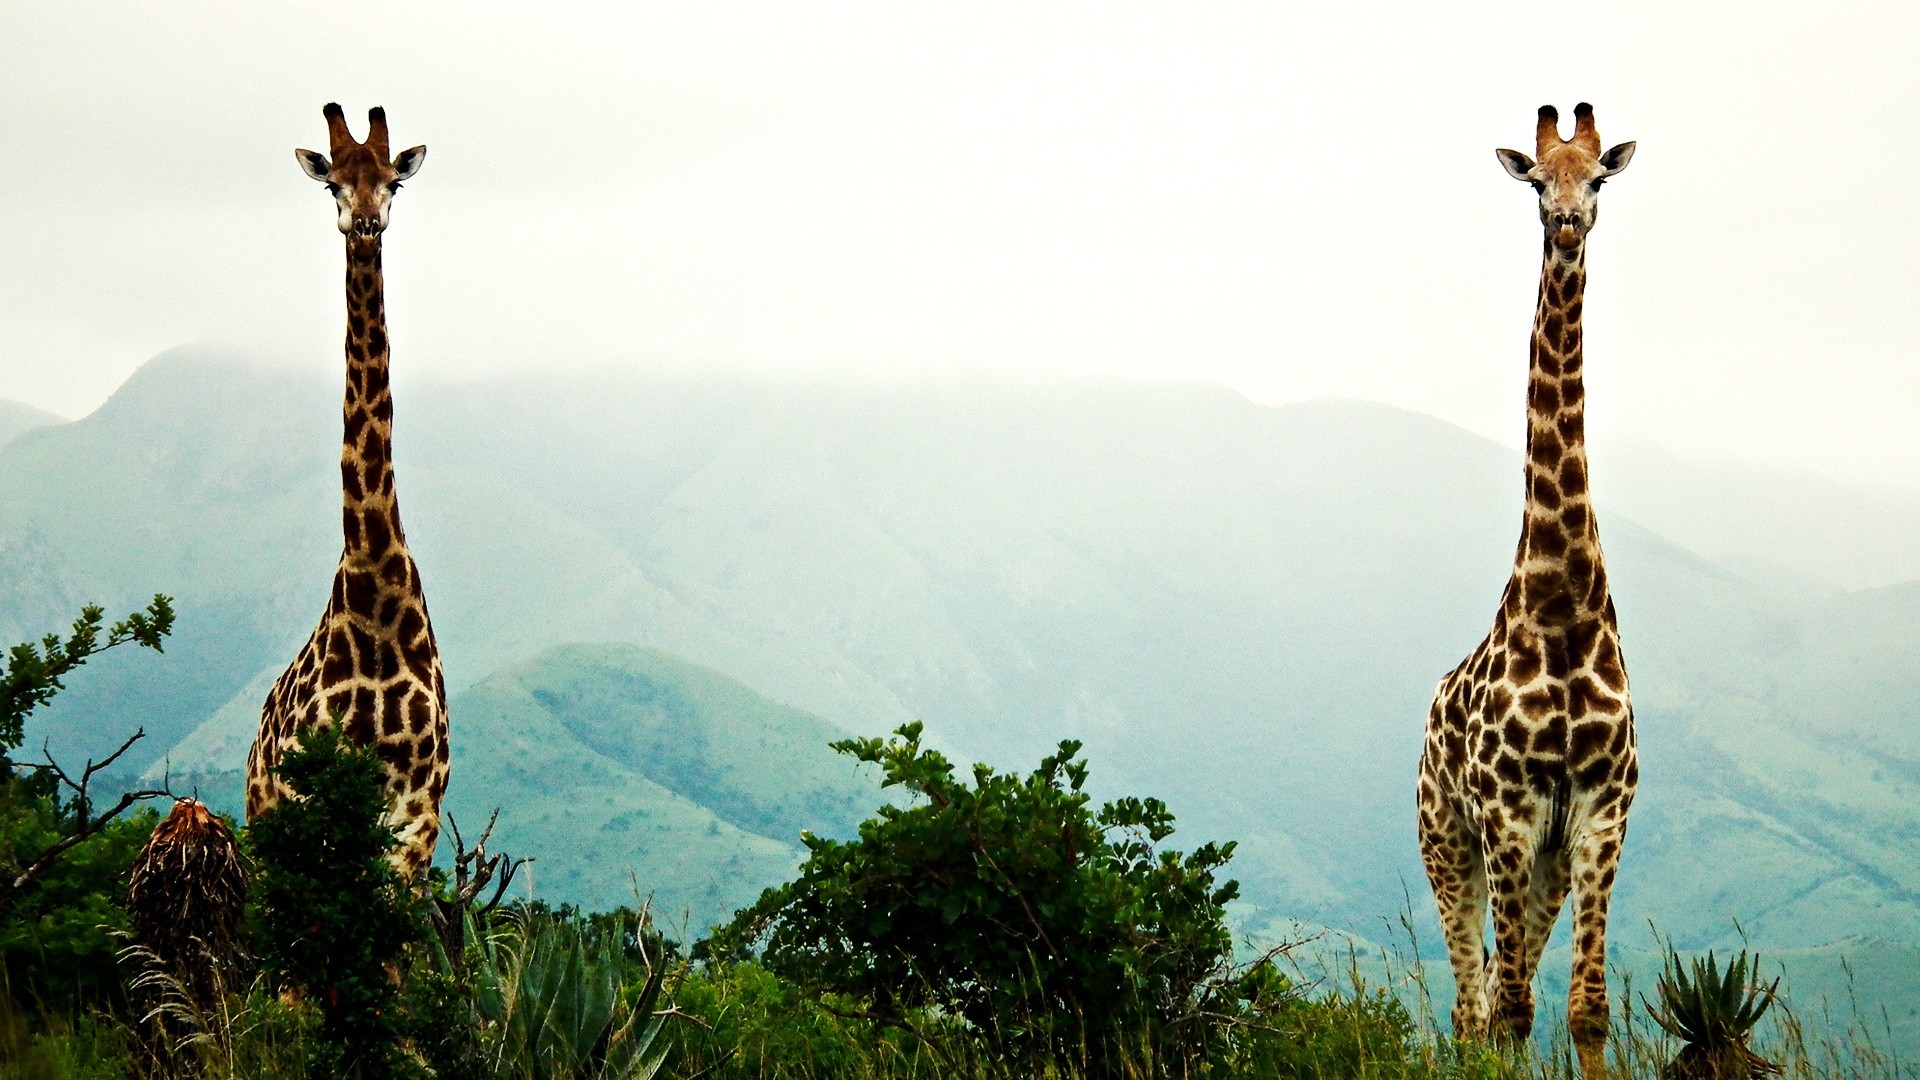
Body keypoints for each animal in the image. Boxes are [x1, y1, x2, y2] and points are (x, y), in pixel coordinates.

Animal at [245, 103, 447, 877]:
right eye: (333, 182)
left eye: (394, 181)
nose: (365, 222)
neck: (374, 589)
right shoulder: (313, 801)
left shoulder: (417, 812)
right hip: (264, 816)